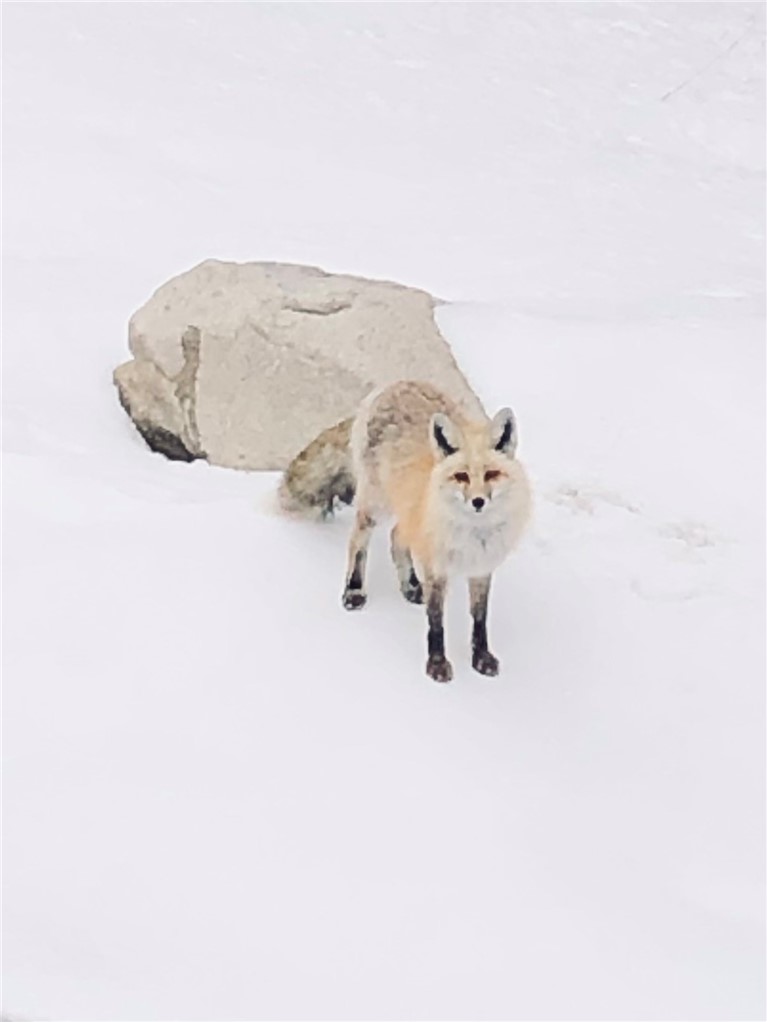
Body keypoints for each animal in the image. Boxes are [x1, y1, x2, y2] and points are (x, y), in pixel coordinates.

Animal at [279, 381, 531, 682]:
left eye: (492, 474)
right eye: (461, 476)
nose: (478, 501)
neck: (473, 535)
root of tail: (394, 384)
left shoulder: (482, 567)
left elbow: (479, 620)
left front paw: (481, 657)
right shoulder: (435, 568)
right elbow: (436, 622)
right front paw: (436, 664)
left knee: (395, 536)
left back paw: (410, 585)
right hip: (376, 504)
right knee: (358, 540)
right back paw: (354, 589)